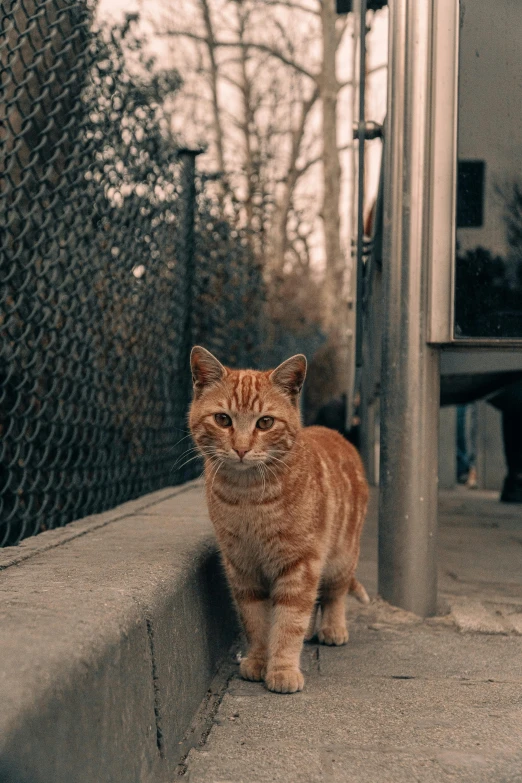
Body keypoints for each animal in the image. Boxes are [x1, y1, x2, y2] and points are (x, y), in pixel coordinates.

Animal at [189, 346, 368, 696]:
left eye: (265, 423)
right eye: (222, 419)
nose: (241, 448)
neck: (248, 497)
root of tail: (335, 432)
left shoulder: (300, 564)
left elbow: (288, 622)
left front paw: (282, 669)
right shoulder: (242, 567)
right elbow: (256, 621)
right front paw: (260, 660)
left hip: (341, 557)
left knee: (334, 595)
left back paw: (332, 628)